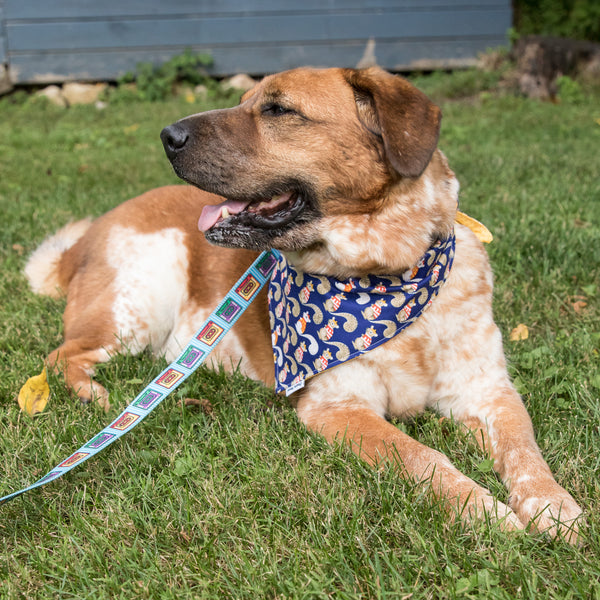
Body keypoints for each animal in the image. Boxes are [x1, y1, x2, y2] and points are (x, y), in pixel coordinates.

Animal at [25, 65, 584, 540]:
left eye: (278, 110)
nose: (167, 136)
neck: (388, 274)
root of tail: (88, 233)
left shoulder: (489, 391)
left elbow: (526, 451)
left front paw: (554, 506)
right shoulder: (339, 406)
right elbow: (421, 457)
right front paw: (483, 509)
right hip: (135, 310)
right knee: (60, 356)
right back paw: (94, 395)